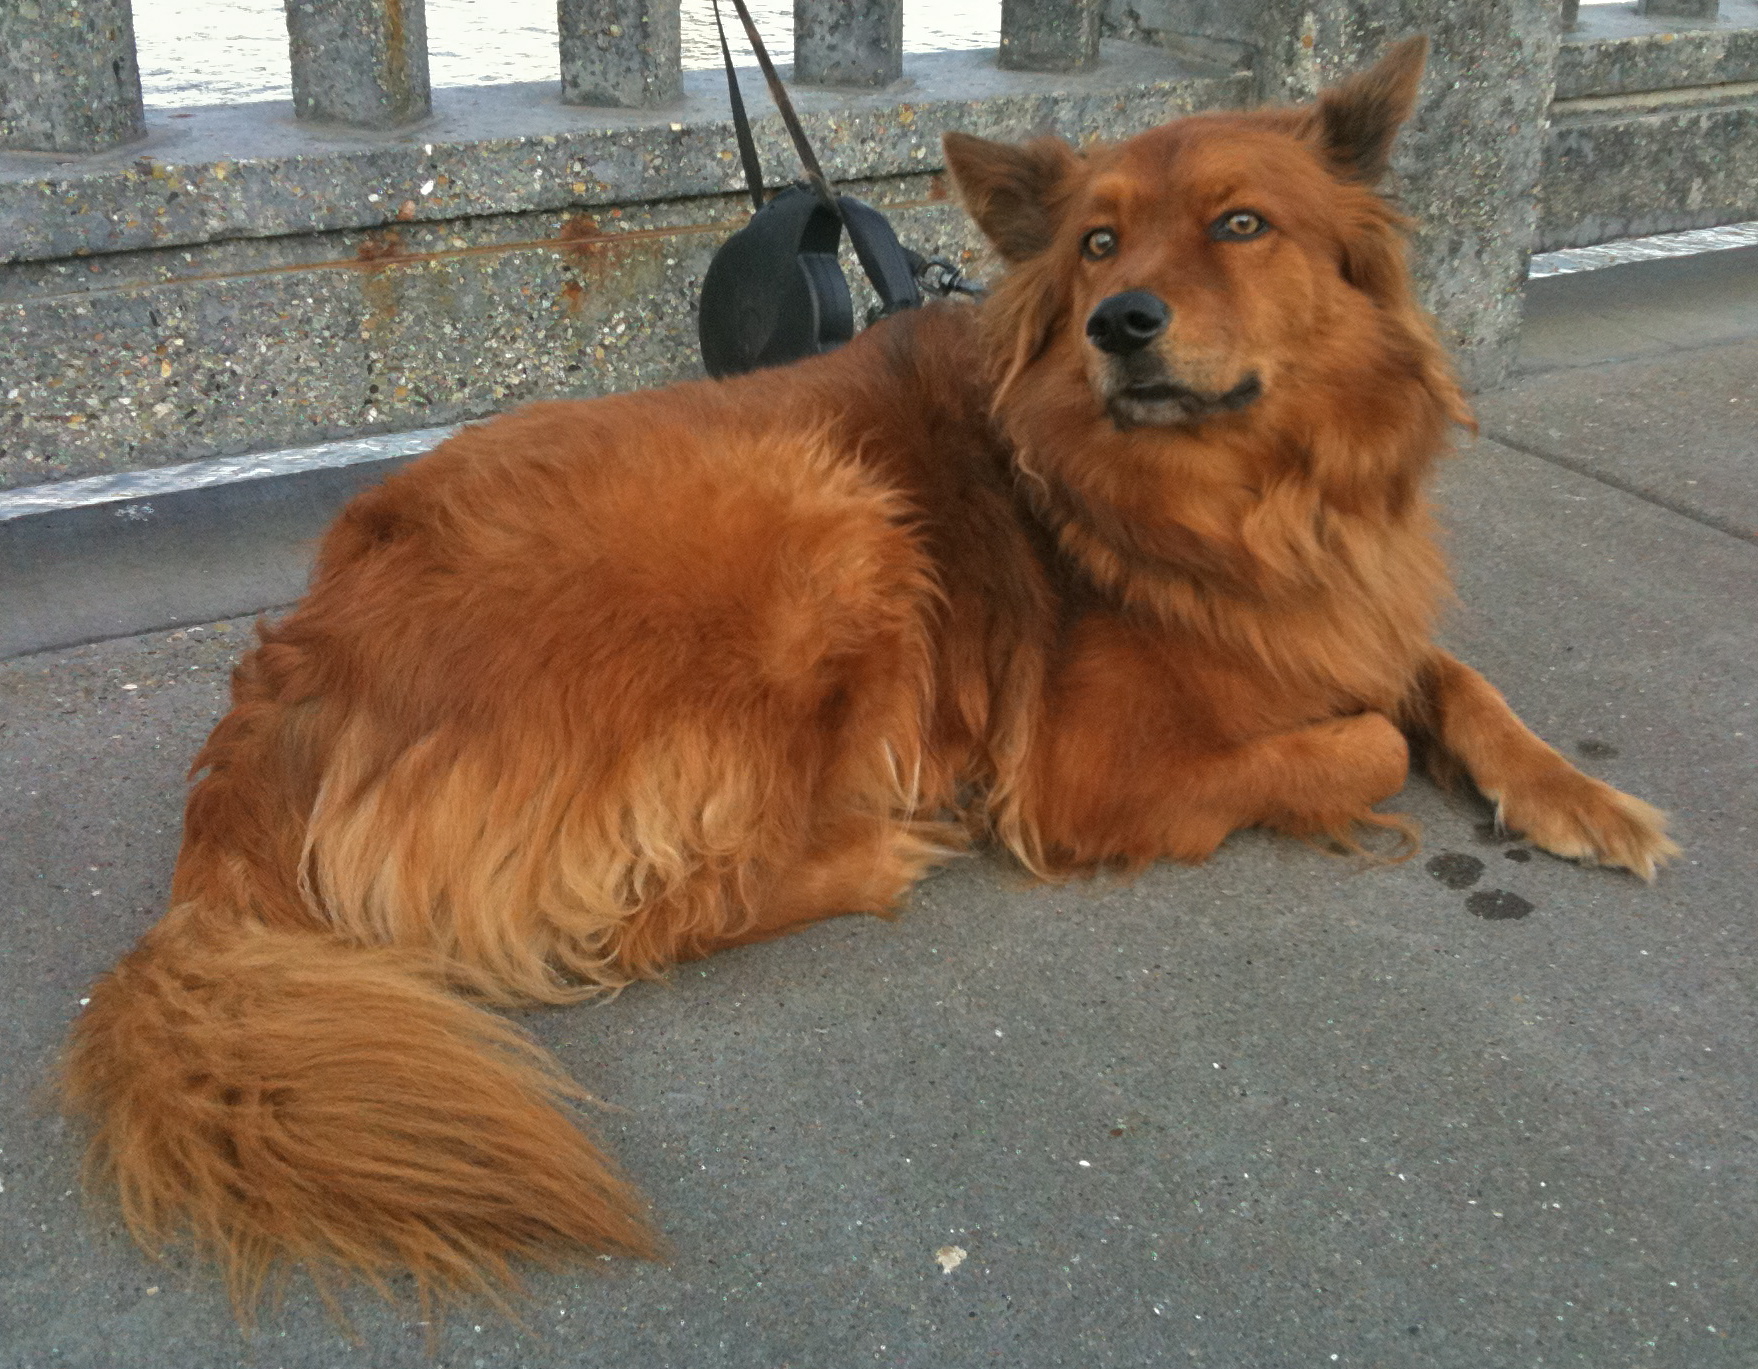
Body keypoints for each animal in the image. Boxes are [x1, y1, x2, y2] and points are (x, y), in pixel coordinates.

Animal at [58, 37, 1673, 1321]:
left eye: (1241, 225)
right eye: (1097, 247)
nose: (1121, 324)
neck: (1237, 498)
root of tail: (289, 676)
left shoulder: (1344, 607)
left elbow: (1448, 683)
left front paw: (1579, 799)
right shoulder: (1087, 774)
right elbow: (1361, 746)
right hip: (825, 517)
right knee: (656, 915)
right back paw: (880, 841)